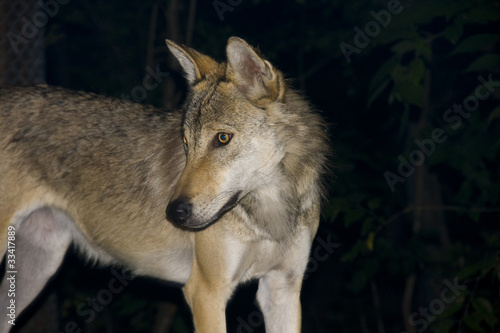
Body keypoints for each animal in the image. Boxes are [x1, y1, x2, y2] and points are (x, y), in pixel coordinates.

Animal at [0, 37, 330, 332]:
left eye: (222, 138)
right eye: (186, 143)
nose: (174, 213)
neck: (270, 213)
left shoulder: (282, 288)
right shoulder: (205, 292)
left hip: (40, 266)